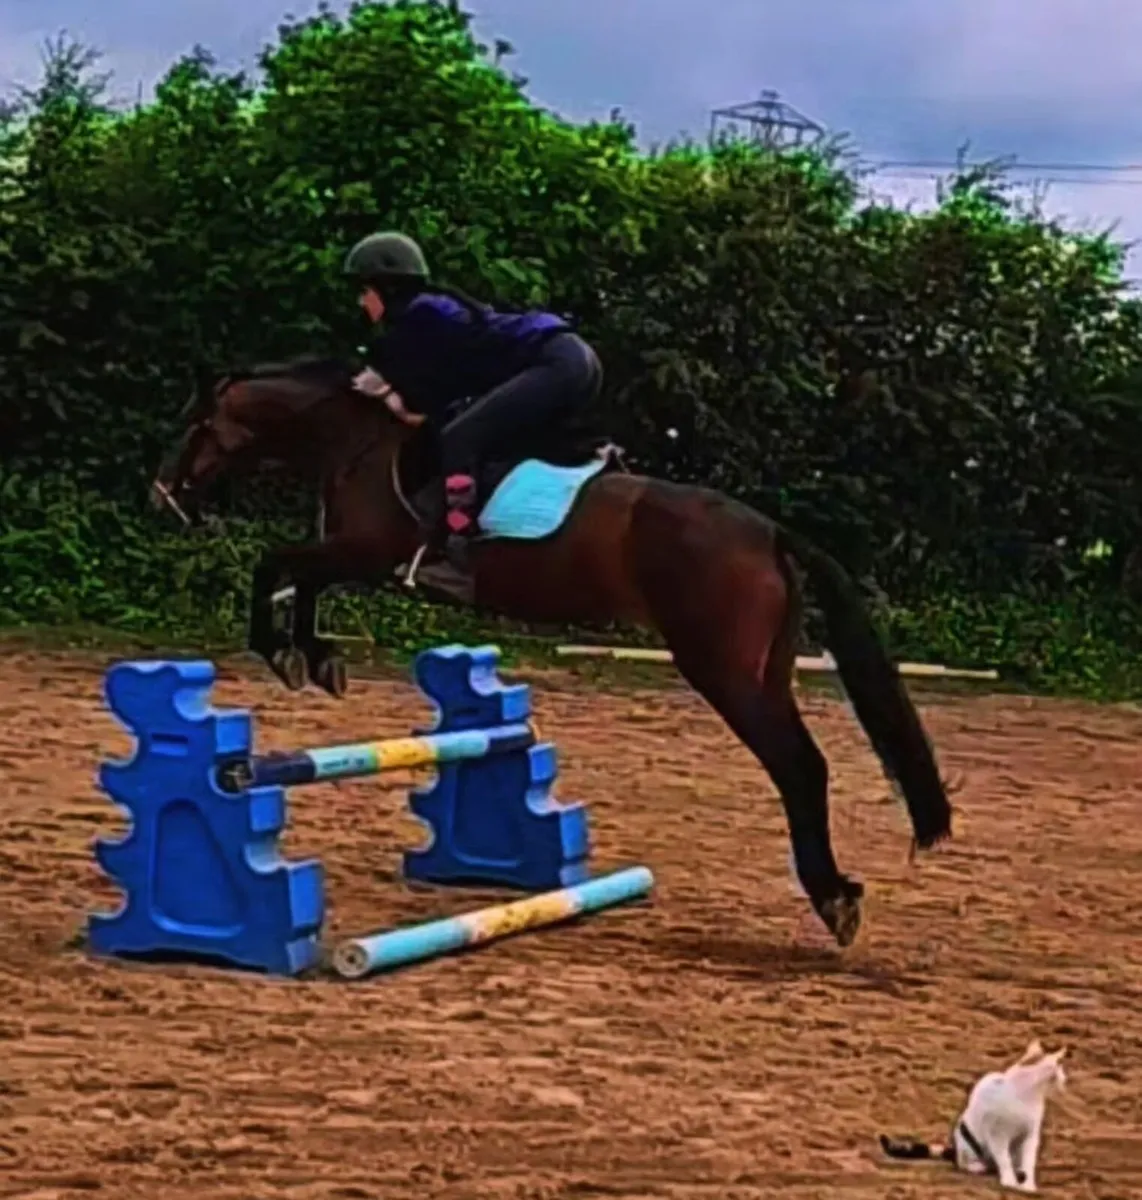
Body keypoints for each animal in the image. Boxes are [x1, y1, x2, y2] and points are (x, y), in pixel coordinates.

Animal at [152, 356, 953, 947]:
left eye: (198, 423)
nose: (164, 496)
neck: (357, 442)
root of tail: (770, 531)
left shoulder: (366, 550)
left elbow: (277, 567)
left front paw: (292, 655)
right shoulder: (355, 557)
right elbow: (299, 579)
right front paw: (314, 660)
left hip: (722, 670)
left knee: (799, 766)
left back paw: (834, 899)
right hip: (766, 669)